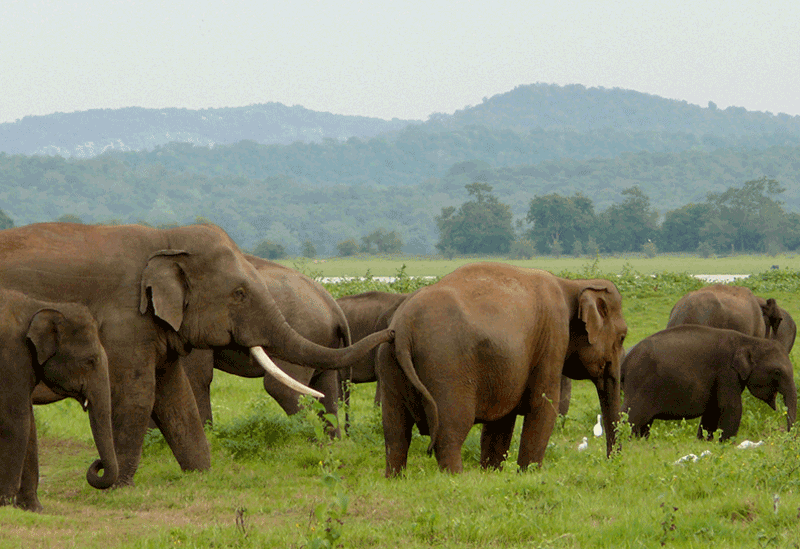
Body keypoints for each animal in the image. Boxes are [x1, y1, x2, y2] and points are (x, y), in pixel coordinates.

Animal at [0, 286, 117, 510]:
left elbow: (30, 426)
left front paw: (34, 509)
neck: (40, 305)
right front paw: (5, 505)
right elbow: (16, 422)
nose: (97, 463)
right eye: (90, 361)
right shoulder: (11, 357)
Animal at [378, 262, 628, 476]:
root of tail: (403, 327)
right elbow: (544, 405)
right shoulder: (552, 337)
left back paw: (396, 478)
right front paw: (528, 474)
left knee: (395, 434)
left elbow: (502, 422)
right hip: (445, 367)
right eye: (623, 337)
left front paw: (491, 473)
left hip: (390, 366)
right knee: (449, 433)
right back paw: (456, 478)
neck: (572, 284)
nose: (610, 461)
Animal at [620, 326, 796, 436]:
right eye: (777, 372)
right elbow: (731, 408)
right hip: (640, 385)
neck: (748, 340)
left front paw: (705, 441)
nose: (786, 434)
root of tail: (625, 360)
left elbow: (713, 410)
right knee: (630, 418)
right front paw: (726, 443)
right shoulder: (726, 372)